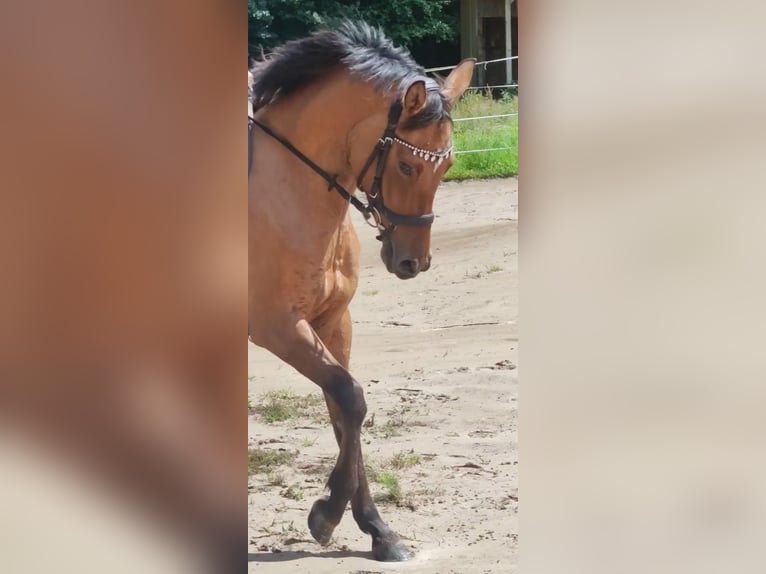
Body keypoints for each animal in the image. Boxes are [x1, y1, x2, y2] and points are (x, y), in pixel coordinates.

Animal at [249, 21, 474, 564]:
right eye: (408, 167)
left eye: (448, 165)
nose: (413, 263)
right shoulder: (275, 324)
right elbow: (350, 398)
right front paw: (326, 515)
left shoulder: (334, 321)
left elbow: (344, 411)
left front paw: (377, 529)